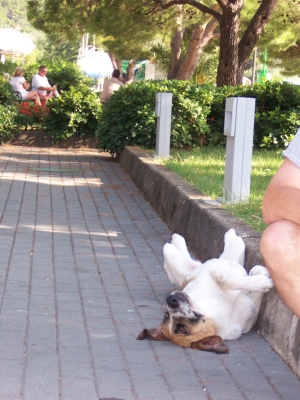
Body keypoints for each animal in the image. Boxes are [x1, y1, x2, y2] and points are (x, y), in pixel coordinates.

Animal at [137, 228, 274, 354]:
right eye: (182, 329)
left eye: (166, 314)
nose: (171, 300)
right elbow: (229, 279)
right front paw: (263, 281)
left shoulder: (213, 266)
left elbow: (224, 277)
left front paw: (258, 275)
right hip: (172, 256)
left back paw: (178, 239)